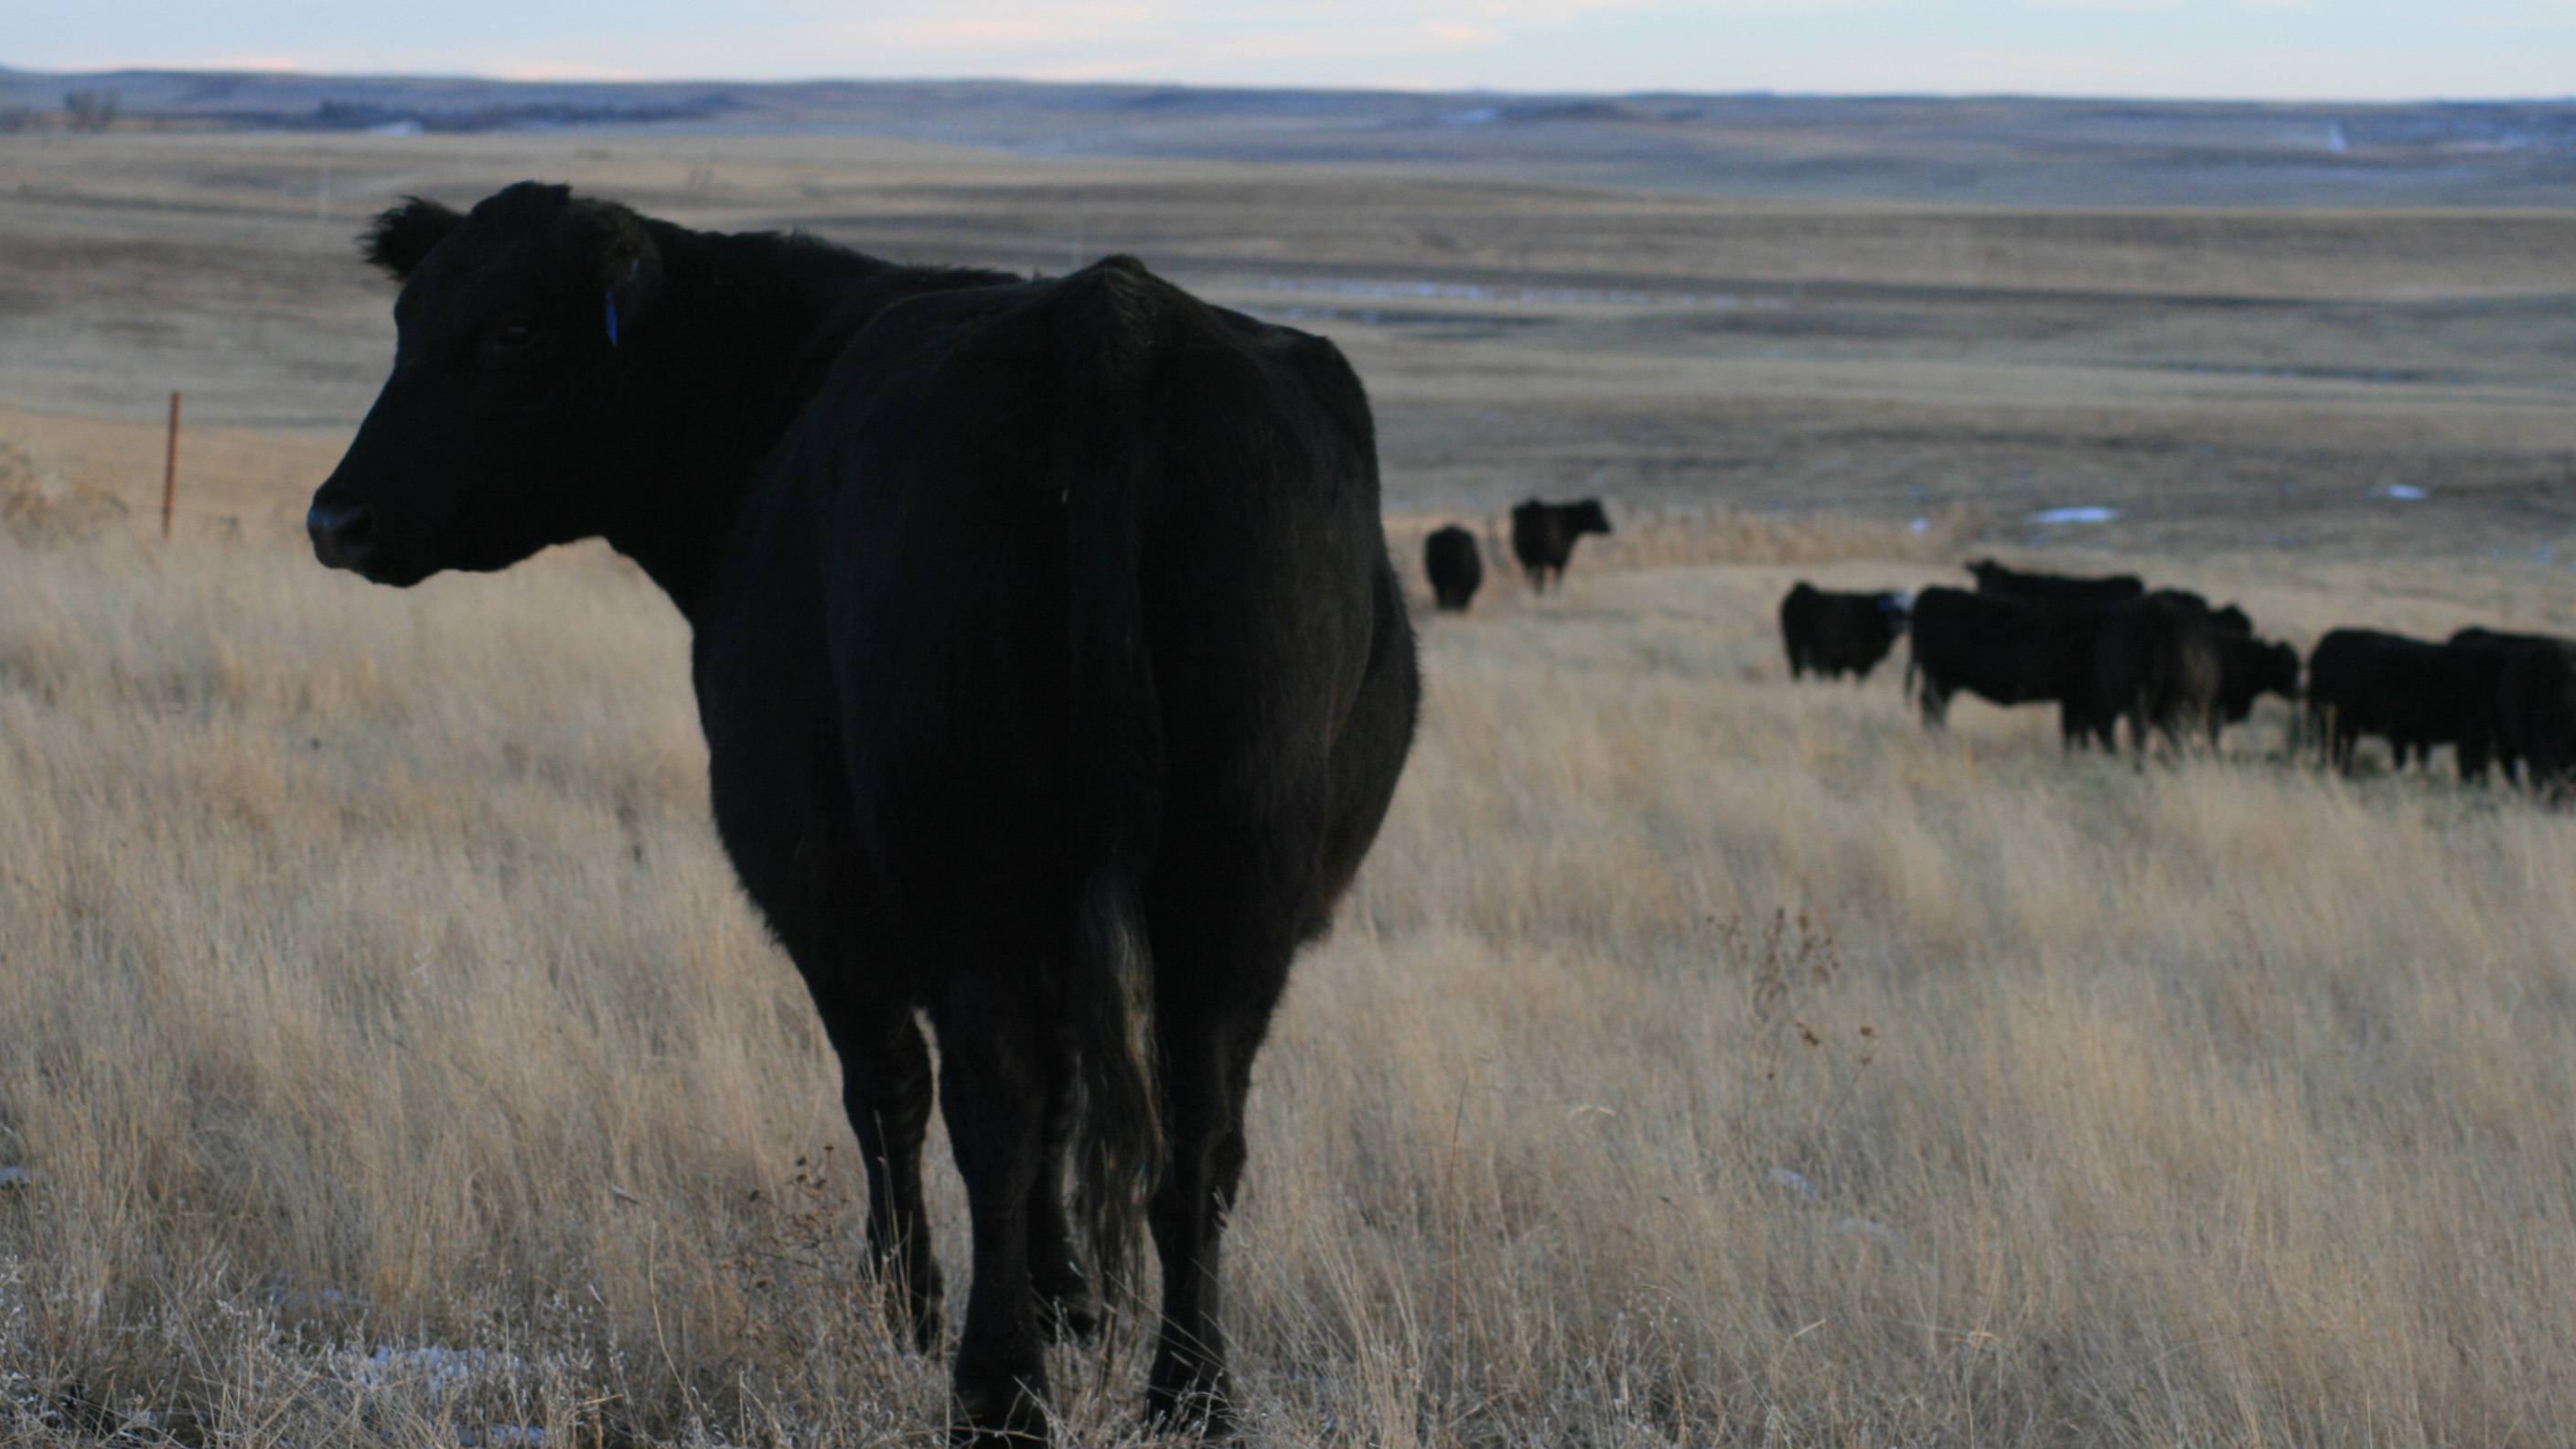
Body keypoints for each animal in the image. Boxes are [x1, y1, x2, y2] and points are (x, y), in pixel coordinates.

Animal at [304, 183, 1420, 1446]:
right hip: (1236, 873)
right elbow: (1065, 1098)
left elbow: (885, 1089)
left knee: (990, 1106)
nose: (336, 518)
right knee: (1196, 1129)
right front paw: (1066, 1300)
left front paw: (910, 1310)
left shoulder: (806, 873)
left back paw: (996, 1392)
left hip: (967, 857)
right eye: (406, 319)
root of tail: (1109, 318)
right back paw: (1191, 1398)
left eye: (512, 330)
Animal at [1778, 583, 1909, 681]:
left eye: (1907, 613)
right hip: (1796, 648)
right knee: (1799, 669)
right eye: (1893, 611)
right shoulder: (1850, 660)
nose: (1901, 626)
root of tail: (1800, 589)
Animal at [1906, 586, 2116, 743]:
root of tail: (1932, 594)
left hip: (1941, 680)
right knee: (1932, 705)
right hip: (1942, 679)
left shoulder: (2078, 699)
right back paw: (1937, 737)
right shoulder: (2084, 699)